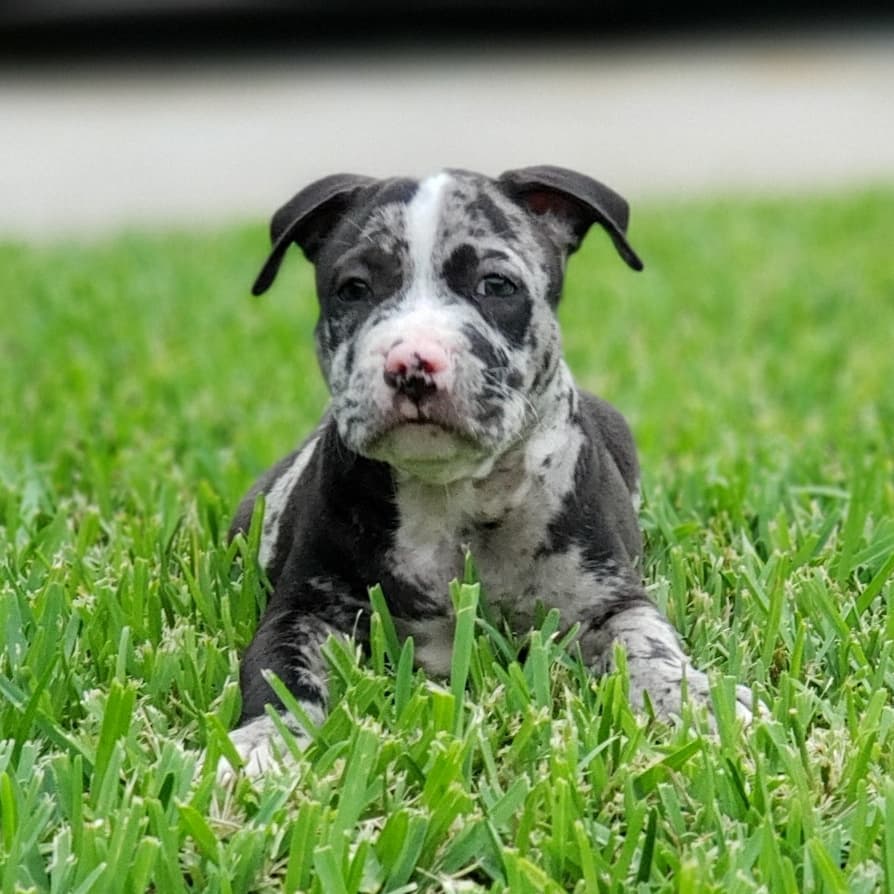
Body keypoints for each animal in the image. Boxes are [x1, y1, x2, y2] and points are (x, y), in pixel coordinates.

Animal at [219, 166, 756, 776]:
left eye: (496, 285)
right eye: (353, 288)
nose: (412, 362)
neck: (453, 493)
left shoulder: (609, 600)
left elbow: (649, 644)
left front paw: (695, 701)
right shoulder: (304, 612)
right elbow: (279, 679)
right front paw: (261, 744)